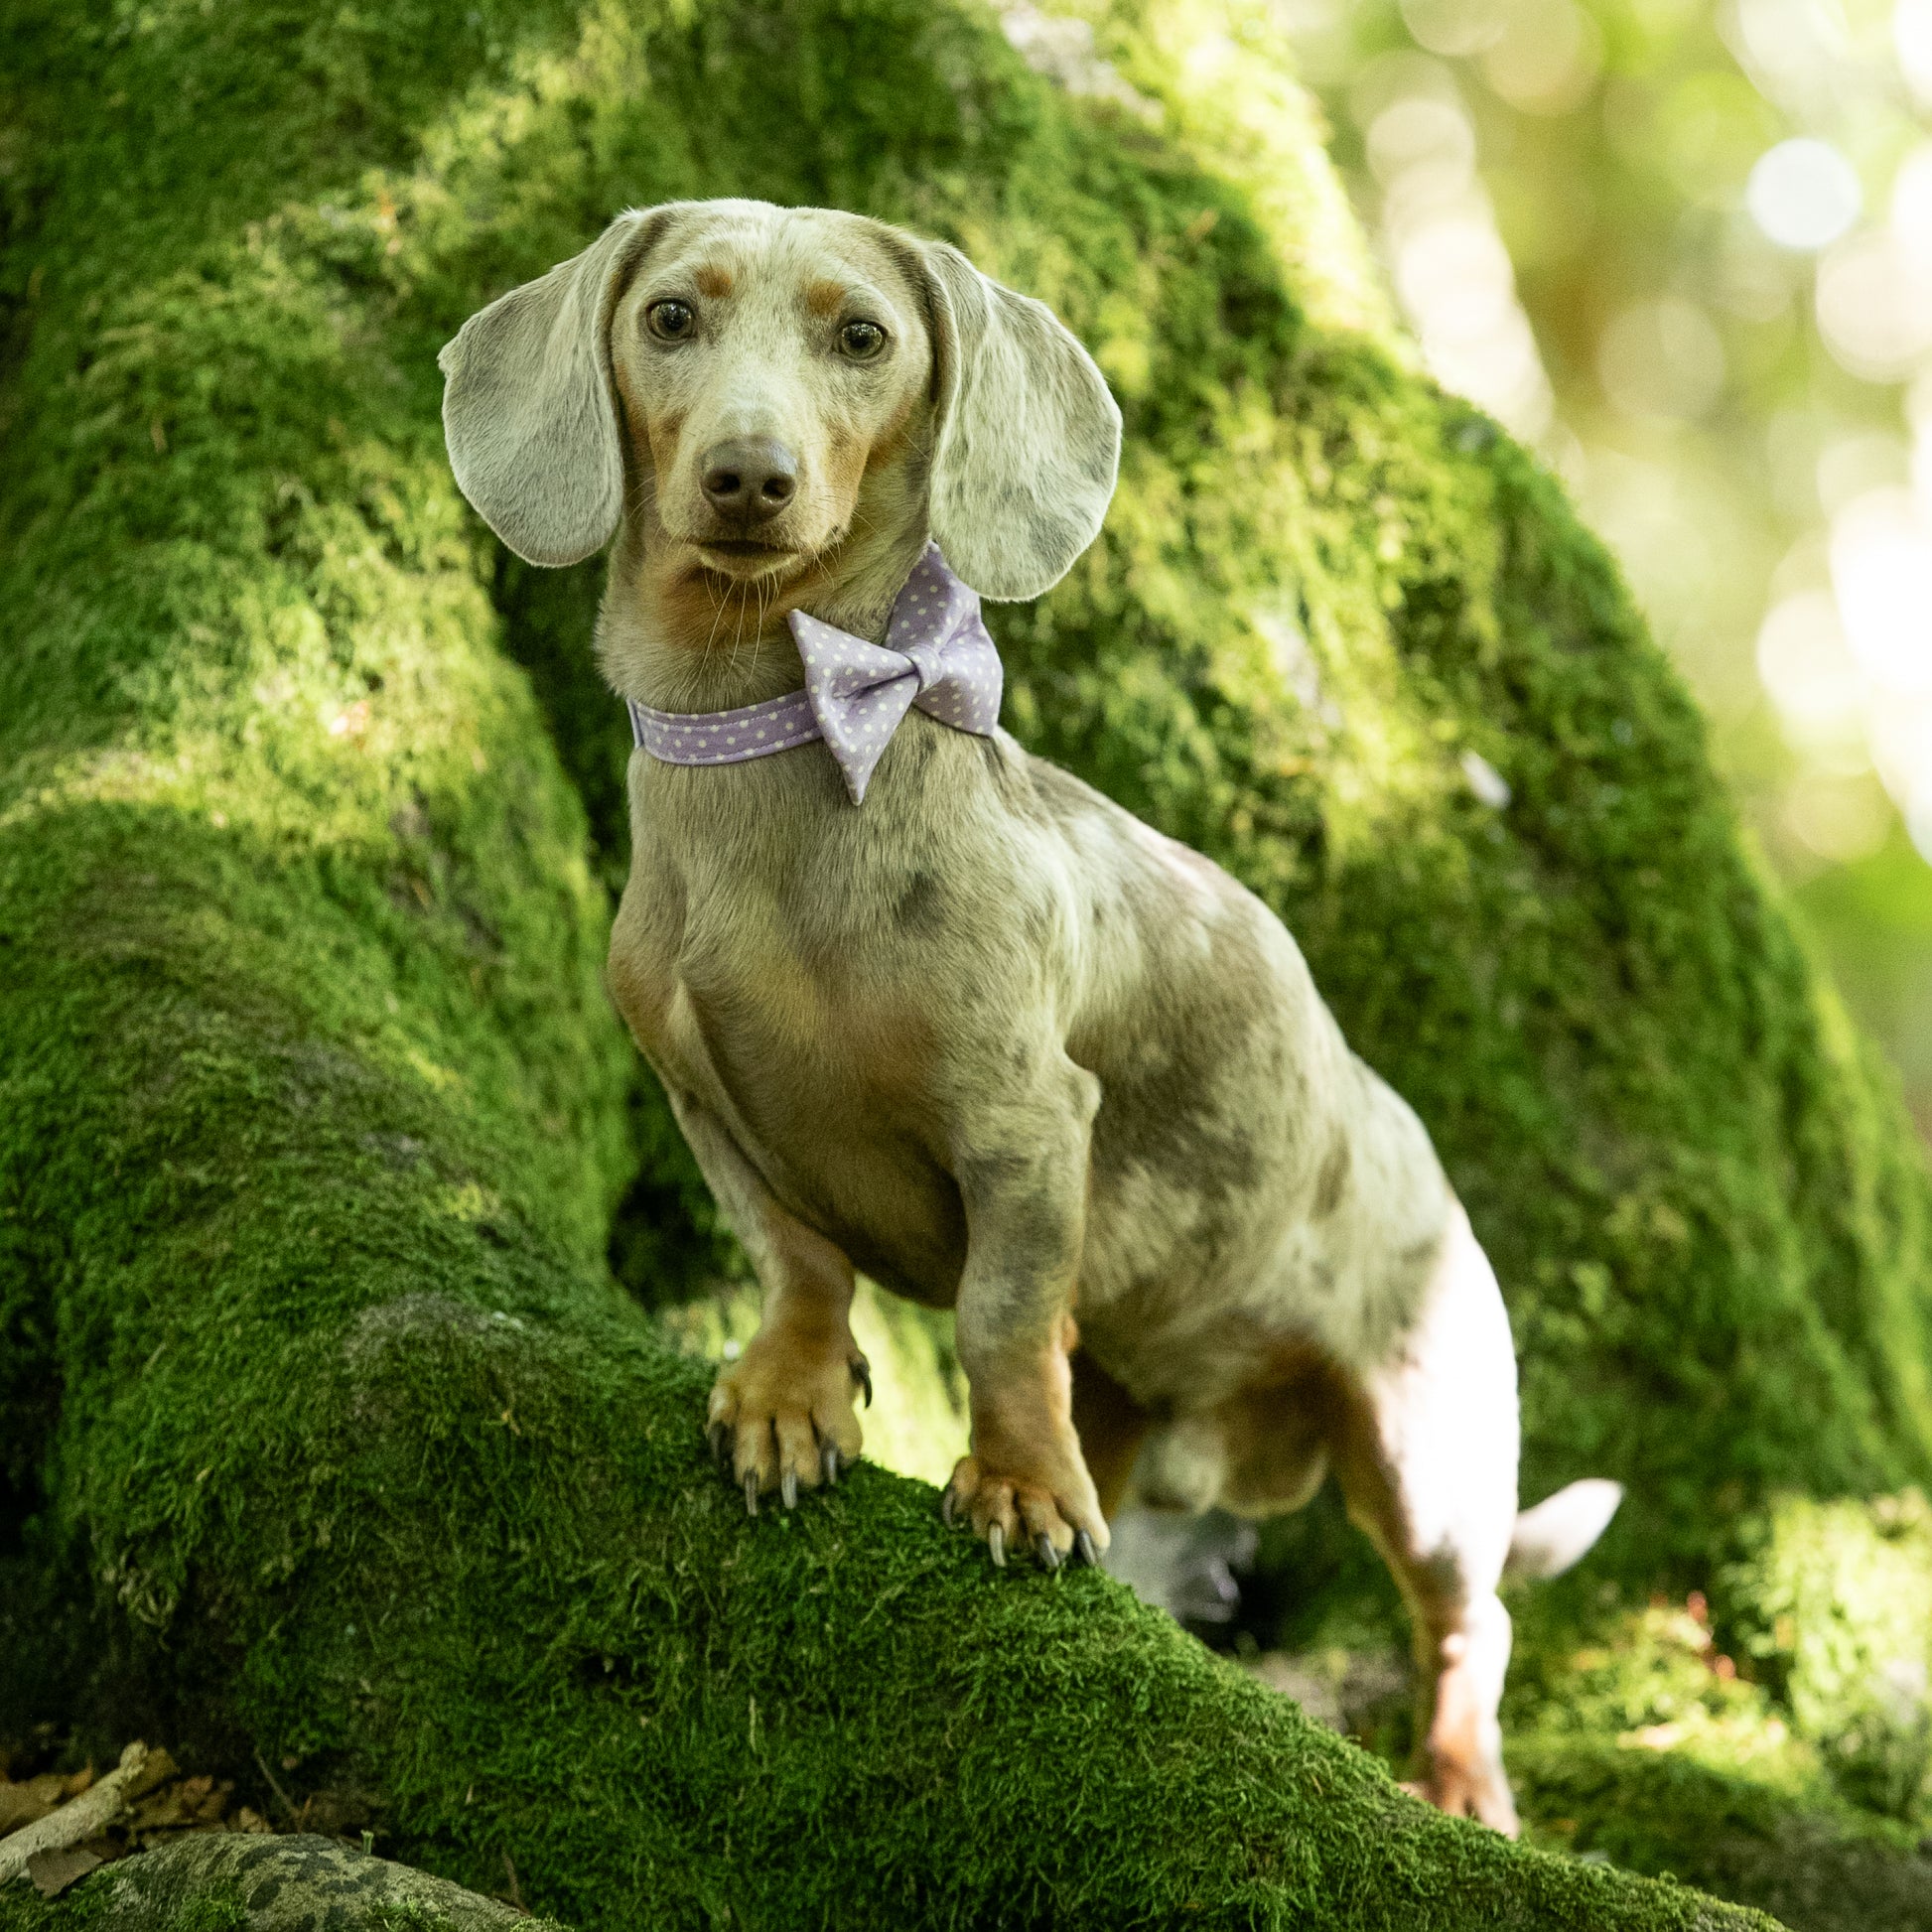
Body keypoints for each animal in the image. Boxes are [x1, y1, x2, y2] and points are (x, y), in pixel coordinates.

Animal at [438, 204, 1614, 1831]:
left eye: (861, 336)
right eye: (670, 316)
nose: (748, 477)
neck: (780, 747)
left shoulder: (1022, 1118)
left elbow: (996, 1316)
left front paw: (1008, 1493)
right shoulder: (703, 1103)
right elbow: (797, 1262)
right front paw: (791, 1398)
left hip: (1425, 1454)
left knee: (1468, 1620)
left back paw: (1459, 1781)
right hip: (1139, 1383)